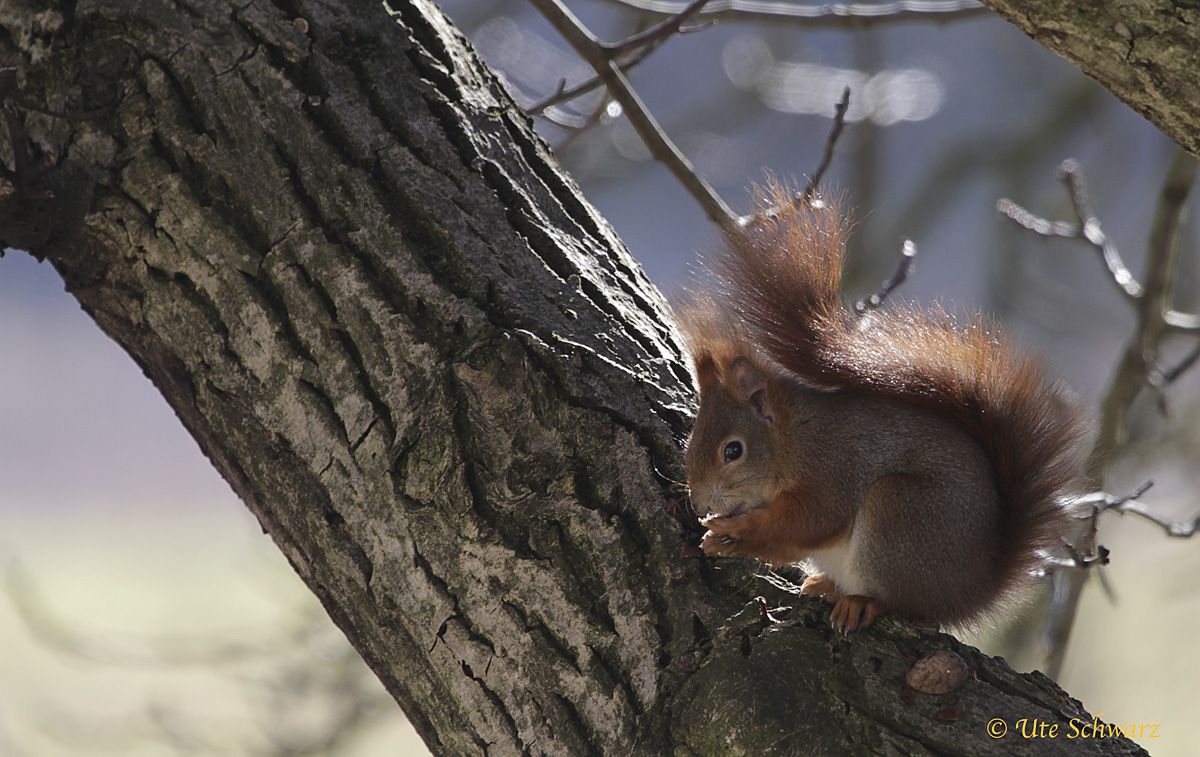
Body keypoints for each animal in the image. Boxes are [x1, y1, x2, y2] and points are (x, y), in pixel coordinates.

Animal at [686, 190, 1089, 633]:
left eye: (733, 451)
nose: (700, 505)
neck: (792, 439)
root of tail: (970, 592)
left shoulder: (833, 467)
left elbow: (812, 520)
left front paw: (736, 527)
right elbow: (786, 545)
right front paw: (720, 539)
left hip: (899, 513)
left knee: (902, 601)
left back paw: (861, 602)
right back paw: (827, 586)